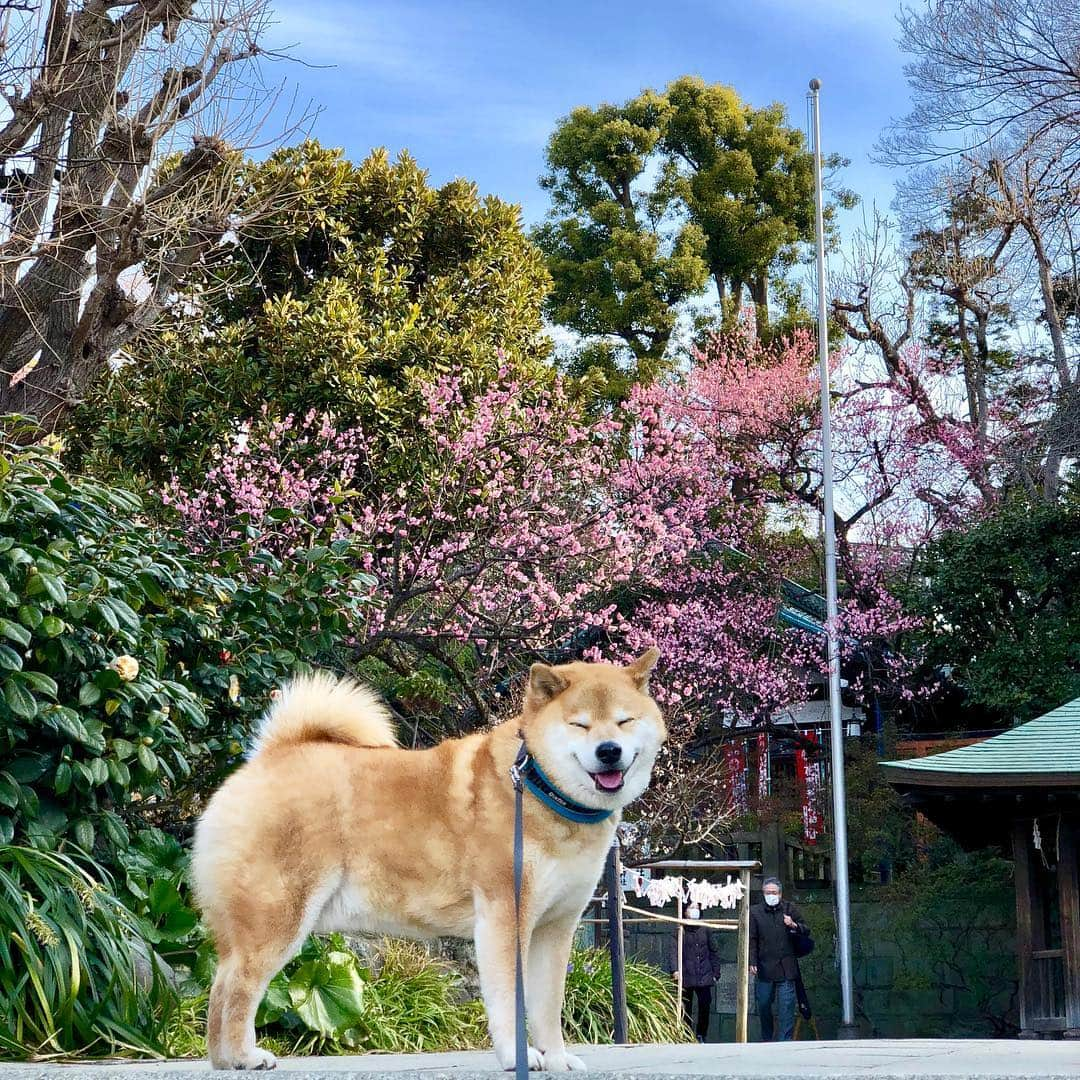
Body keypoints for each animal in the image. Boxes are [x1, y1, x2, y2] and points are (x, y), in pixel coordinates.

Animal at [194, 648, 665, 1071]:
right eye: (579, 724)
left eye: (624, 720)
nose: (609, 750)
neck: (538, 788)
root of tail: (270, 756)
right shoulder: (505, 918)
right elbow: (510, 1001)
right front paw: (518, 1057)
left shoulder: (556, 927)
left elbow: (548, 1006)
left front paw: (557, 1058)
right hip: (277, 919)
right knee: (237, 988)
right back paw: (244, 1056)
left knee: (220, 986)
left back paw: (223, 1060)